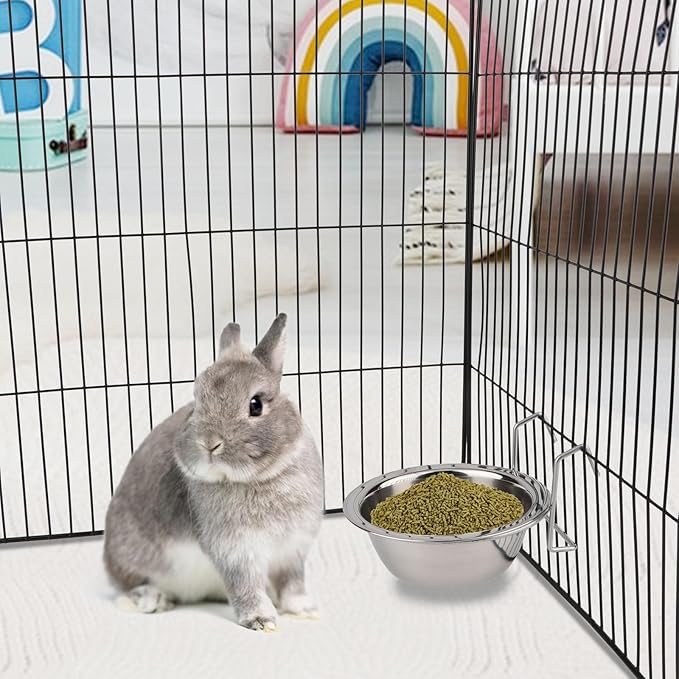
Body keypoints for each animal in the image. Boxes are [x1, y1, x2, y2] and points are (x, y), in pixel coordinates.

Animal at [103, 313, 323, 631]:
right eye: (197, 402)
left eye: (256, 404)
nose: (209, 443)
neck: (259, 478)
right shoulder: (234, 550)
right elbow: (245, 586)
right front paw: (262, 620)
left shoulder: (292, 548)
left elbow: (292, 584)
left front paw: (304, 610)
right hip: (131, 554)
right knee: (128, 585)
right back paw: (153, 600)